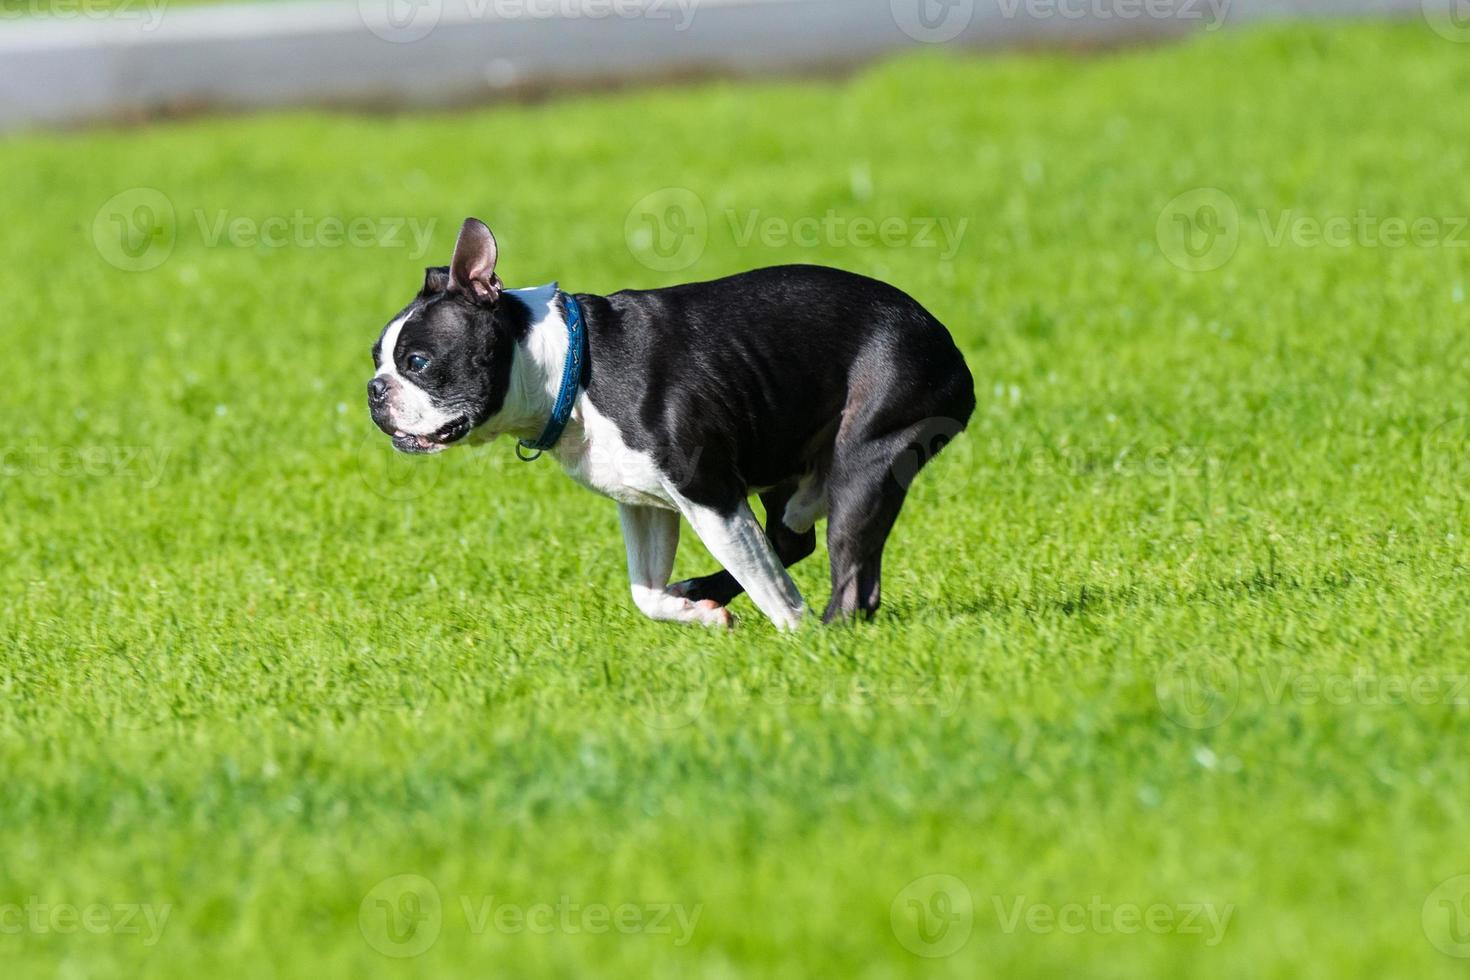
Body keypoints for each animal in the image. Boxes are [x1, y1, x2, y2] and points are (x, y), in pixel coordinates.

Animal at [367, 218, 976, 631]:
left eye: (417, 362)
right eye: (377, 359)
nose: (374, 390)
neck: (571, 368)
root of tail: (944, 339)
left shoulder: (710, 494)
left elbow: (767, 583)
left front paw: (793, 632)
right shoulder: (644, 504)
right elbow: (647, 593)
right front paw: (695, 612)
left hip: (865, 458)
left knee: (844, 572)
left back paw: (825, 632)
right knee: (790, 538)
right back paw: (705, 591)